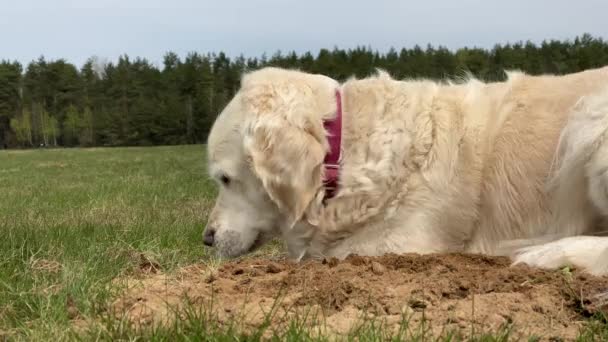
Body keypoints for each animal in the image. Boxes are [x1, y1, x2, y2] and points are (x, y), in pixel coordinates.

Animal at [203, 65, 608, 276]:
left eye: (225, 179)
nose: (206, 238)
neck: (345, 150)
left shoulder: (400, 243)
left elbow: (328, 255)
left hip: (588, 122)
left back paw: (549, 254)